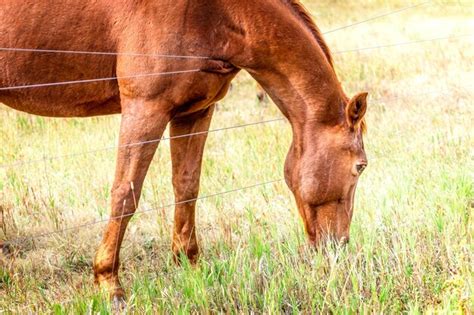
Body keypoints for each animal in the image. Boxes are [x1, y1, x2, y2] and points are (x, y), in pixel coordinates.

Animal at [0, 0, 368, 306]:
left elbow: (187, 186)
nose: (339, 246)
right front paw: (109, 284)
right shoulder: (144, 110)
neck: (216, 12)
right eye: (360, 166)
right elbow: (125, 195)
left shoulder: (194, 113)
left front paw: (188, 265)